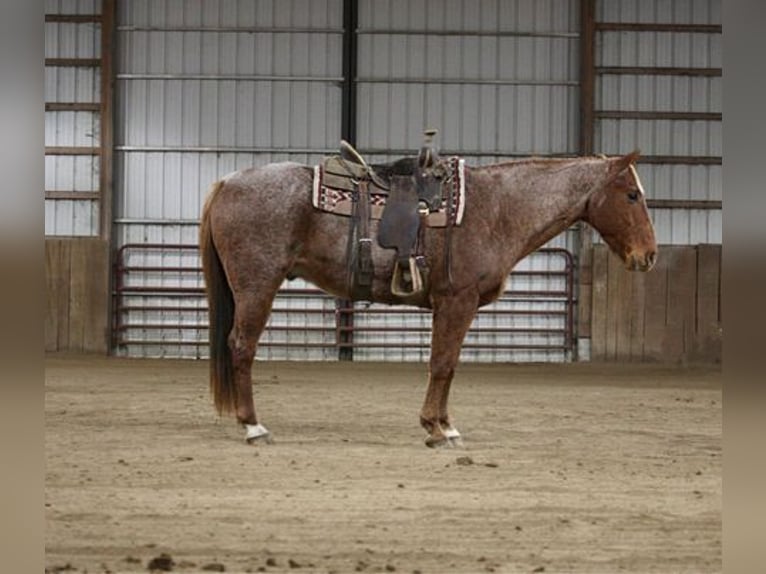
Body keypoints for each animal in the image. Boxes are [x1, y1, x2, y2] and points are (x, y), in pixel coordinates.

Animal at [200, 151, 660, 448]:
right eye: (632, 195)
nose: (650, 255)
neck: (497, 209)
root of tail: (227, 182)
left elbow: (446, 365)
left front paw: (442, 425)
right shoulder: (457, 301)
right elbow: (443, 364)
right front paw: (438, 429)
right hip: (257, 285)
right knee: (241, 346)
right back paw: (254, 427)